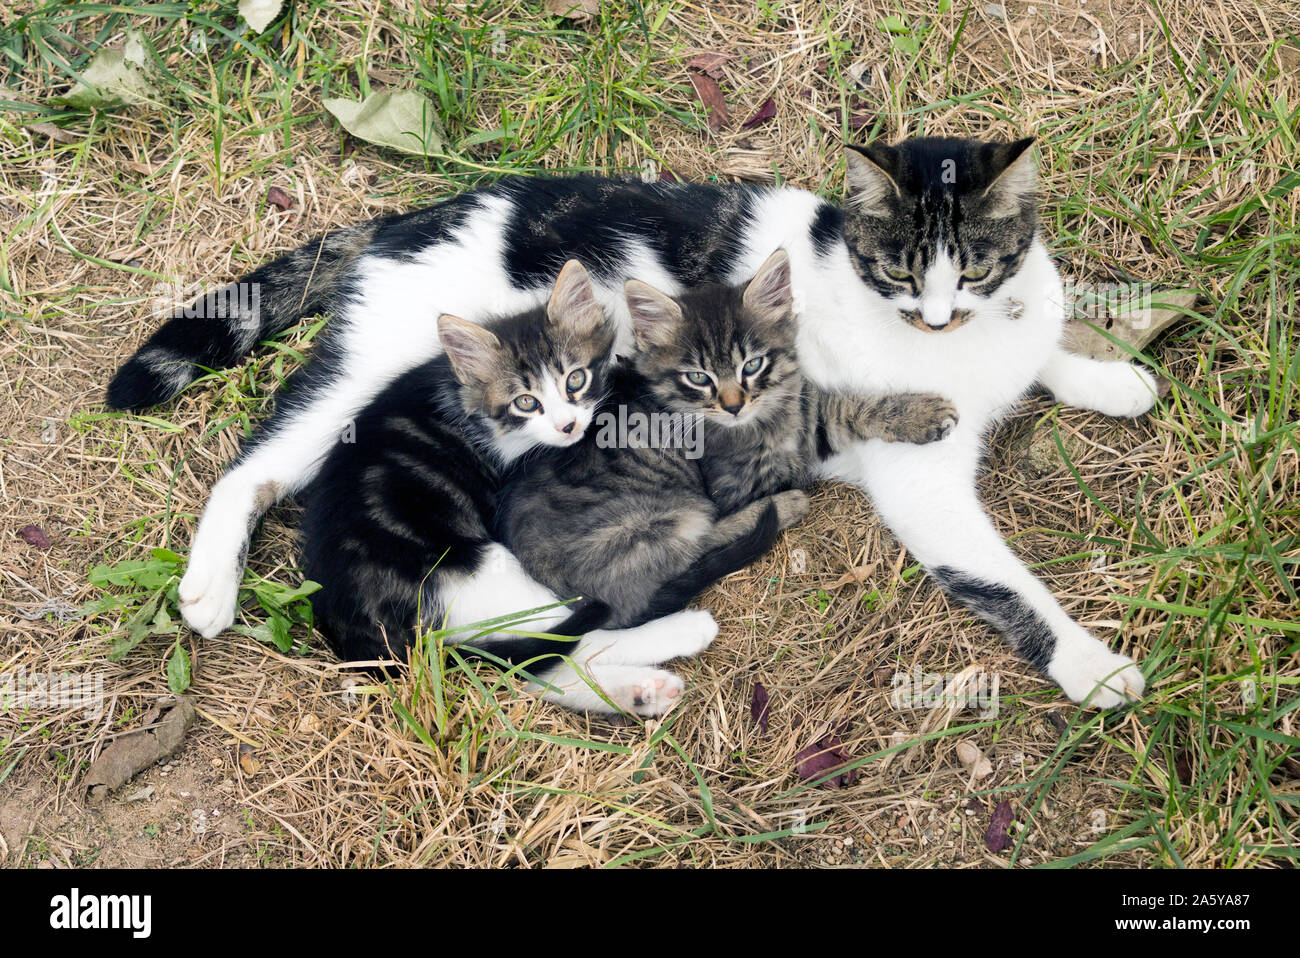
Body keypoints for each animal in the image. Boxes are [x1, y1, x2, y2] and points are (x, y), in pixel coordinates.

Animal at [104, 134, 1159, 701]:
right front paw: (1088, 662)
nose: (934, 317)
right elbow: (1004, 583)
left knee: (533, 651)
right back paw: (209, 586)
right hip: (382, 409)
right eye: (899, 271)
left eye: (971, 268)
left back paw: (643, 681)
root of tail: (410, 219)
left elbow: (1049, 354)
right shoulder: (908, 471)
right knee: (264, 471)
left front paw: (1109, 380)